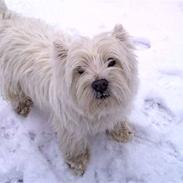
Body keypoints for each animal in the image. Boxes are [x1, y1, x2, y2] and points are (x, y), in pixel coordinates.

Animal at [0, 0, 137, 176]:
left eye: (112, 61)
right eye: (80, 70)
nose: (100, 84)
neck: (96, 108)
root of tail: (8, 21)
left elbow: (117, 119)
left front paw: (122, 132)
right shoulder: (69, 125)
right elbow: (74, 143)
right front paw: (78, 162)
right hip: (11, 77)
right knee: (13, 92)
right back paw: (23, 105)